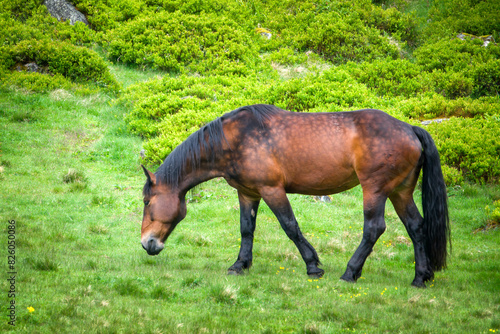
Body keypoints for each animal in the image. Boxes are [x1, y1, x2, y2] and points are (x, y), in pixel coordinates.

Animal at [140, 103, 450, 288]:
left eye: (146, 201)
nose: (147, 243)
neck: (235, 139)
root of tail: (410, 129)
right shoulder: (248, 193)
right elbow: (246, 229)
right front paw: (240, 264)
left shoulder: (272, 190)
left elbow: (290, 226)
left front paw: (313, 266)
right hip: (400, 192)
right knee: (416, 227)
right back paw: (420, 277)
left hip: (375, 190)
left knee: (374, 228)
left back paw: (350, 272)